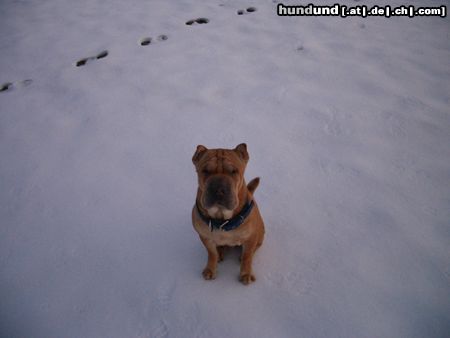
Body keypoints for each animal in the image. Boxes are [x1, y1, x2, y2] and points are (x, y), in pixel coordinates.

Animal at [192, 143, 266, 286]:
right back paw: (220, 252)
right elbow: (211, 253)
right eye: (205, 171)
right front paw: (211, 268)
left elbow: (248, 256)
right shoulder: (205, 237)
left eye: (233, 171)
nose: (218, 189)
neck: (221, 220)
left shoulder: (251, 237)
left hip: (260, 234)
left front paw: (245, 273)